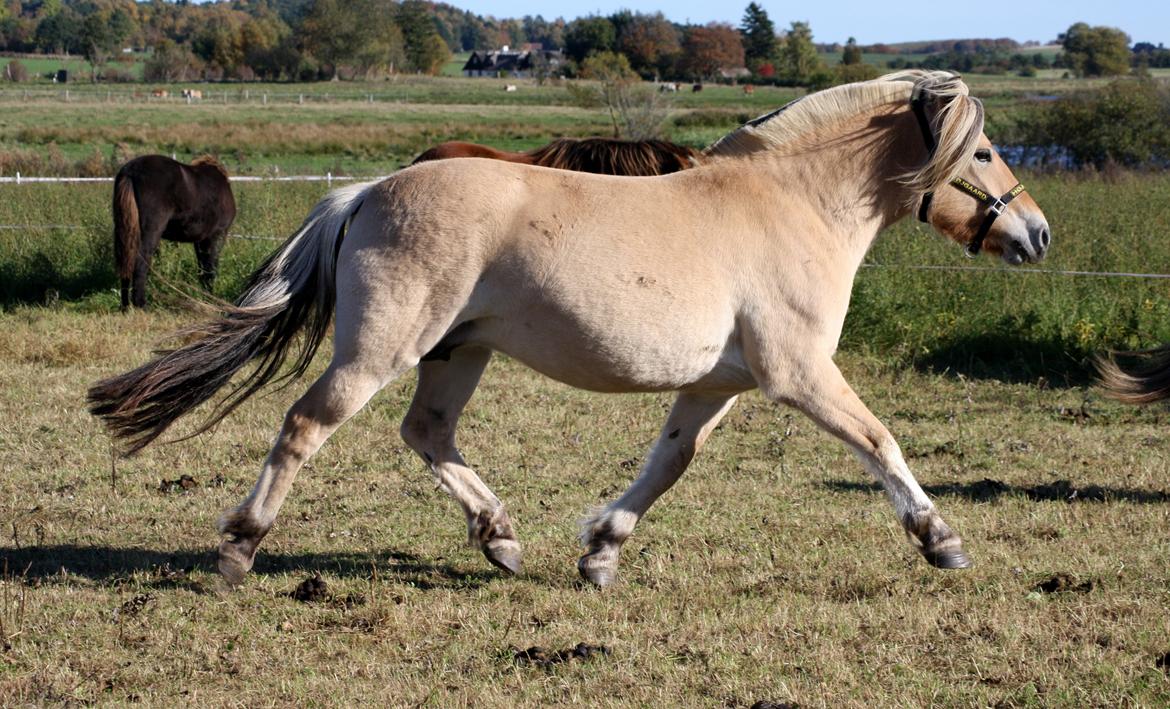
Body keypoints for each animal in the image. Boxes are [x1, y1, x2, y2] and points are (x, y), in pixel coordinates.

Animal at [112, 154, 236, 308]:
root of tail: (131, 170)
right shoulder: (216, 235)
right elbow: (210, 268)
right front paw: (210, 299)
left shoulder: (200, 240)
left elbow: (202, 269)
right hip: (150, 232)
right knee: (140, 262)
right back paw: (141, 304)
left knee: (126, 260)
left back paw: (125, 306)